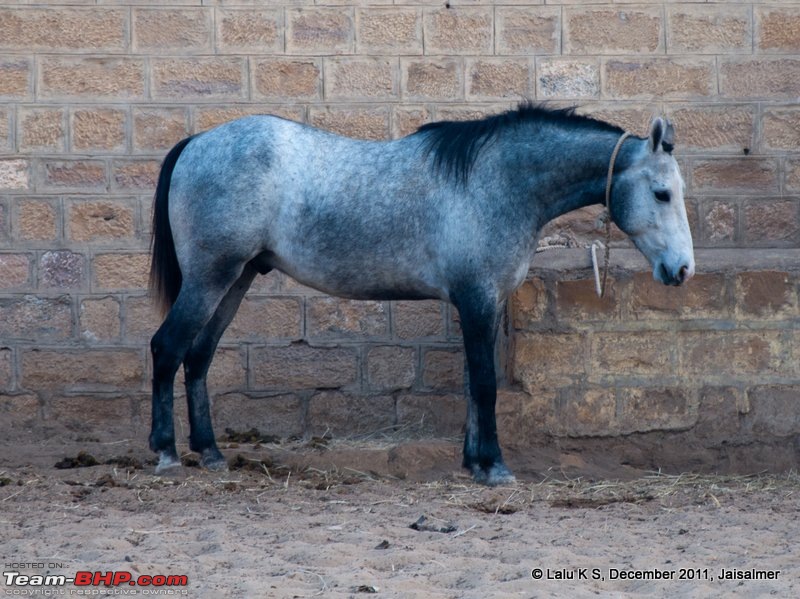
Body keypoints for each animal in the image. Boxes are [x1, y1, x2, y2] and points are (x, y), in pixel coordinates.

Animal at [148, 103, 692, 488]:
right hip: (211, 278)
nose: (682, 269)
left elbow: (474, 384)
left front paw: (474, 462)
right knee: (167, 348)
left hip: (236, 279)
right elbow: (485, 384)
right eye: (662, 193)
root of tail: (197, 142)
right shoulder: (476, 299)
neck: (497, 182)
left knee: (198, 357)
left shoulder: (483, 304)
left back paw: (210, 453)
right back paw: (166, 452)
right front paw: (495, 467)